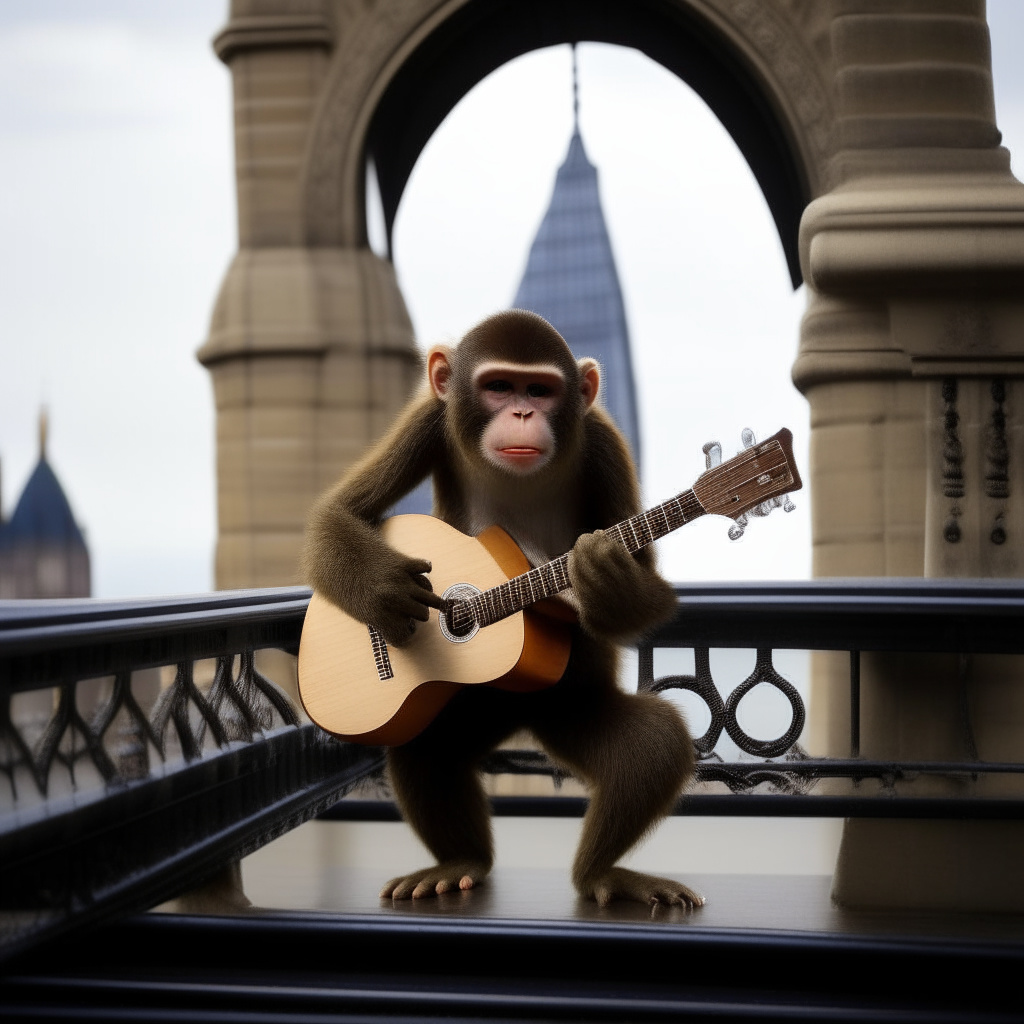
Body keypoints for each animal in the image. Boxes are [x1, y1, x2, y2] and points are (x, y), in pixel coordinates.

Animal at [303, 307, 704, 909]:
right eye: (498, 387)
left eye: (539, 390)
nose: (521, 412)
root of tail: (524, 720)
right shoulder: (429, 417)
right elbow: (339, 512)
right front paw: (384, 591)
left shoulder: (604, 442)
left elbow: (646, 579)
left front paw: (604, 577)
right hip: (469, 706)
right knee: (427, 748)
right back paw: (457, 863)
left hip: (566, 707)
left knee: (651, 745)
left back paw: (602, 875)